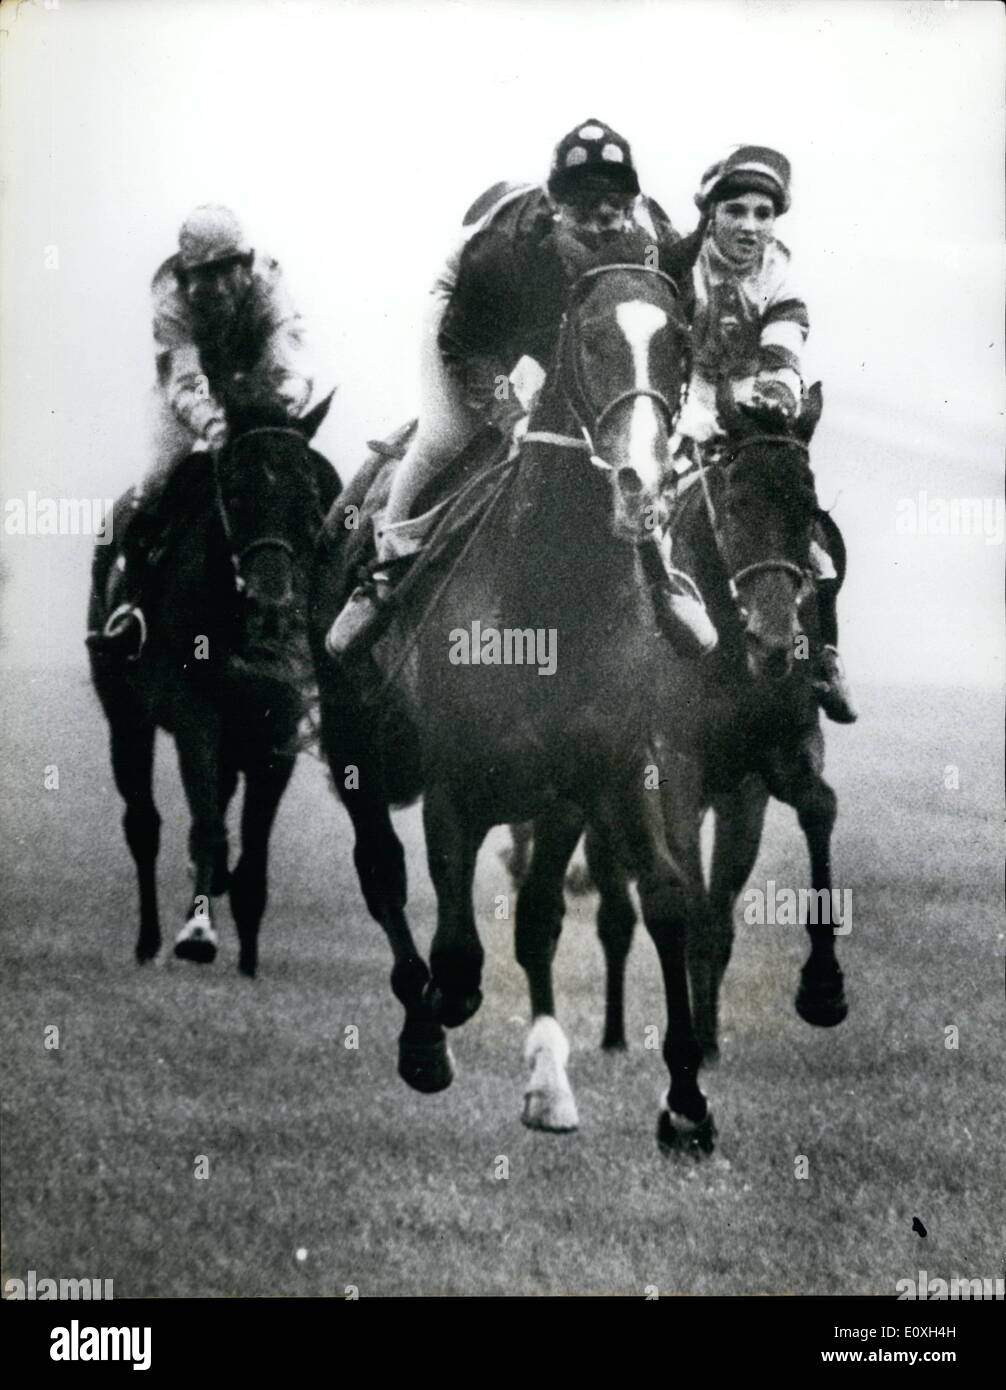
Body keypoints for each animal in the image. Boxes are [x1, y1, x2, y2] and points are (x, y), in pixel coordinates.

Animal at [87, 400, 337, 978]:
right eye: (237, 494)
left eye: (310, 497)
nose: (272, 608)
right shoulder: (195, 717)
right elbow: (205, 827)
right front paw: (198, 932)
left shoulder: (278, 731)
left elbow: (252, 853)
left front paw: (247, 960)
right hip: (125, 721)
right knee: (144, 825)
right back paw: (149, 941)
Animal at [586, 380, 850, 1073]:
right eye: (735, 501)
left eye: (808, 505)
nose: (775, 641)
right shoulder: (676, 769)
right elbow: (693, 906)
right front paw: (690, 1042)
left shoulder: (762, 772)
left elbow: (818, 807)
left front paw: (822, 989)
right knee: (617, 907)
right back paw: (615, 1033)